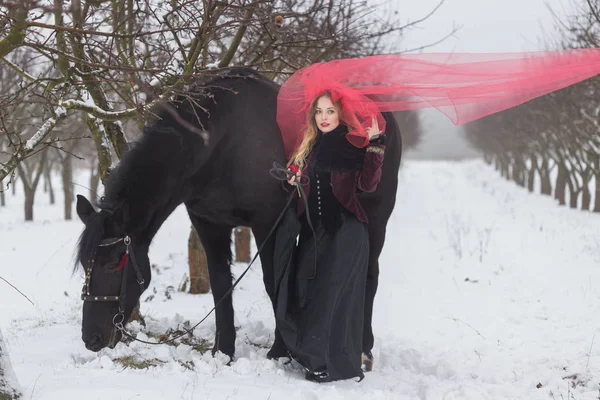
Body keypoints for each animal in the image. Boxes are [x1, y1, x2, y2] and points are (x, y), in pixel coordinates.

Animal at [76, 67, 404, 360]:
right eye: (84, 264)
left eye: (113, 263)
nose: (91, 339)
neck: (223, 143)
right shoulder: (209, 225)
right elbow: (221, 284)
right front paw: (223, 351)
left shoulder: (267, 223)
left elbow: (273, 283)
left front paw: (279, 352)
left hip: (375, 220)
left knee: (369, 276)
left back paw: (362, 348)